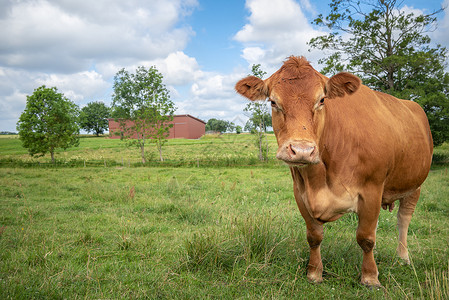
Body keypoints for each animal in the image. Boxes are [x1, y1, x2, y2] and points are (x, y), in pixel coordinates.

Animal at [236, 55, 432, 286]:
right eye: (273, 102)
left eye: (322, 100)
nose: (302, 151)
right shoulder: (300, 193)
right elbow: (314, 236)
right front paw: (314, 273)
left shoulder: (372, 190)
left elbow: (366, 238)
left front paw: (370, 277)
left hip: (415, 185)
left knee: (404, 219)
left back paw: (403, 257)